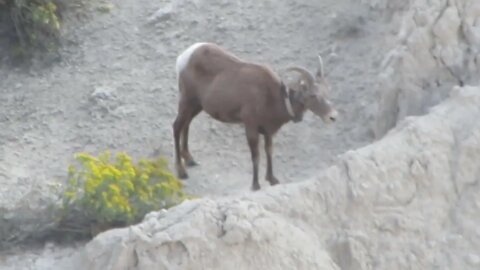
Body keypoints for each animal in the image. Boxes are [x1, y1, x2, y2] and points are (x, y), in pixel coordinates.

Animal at [173, 41, 338, 190]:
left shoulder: (269, 131)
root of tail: (184, 57)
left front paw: (272, 179)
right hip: (187, 101)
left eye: (327, 91)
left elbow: (269, 151)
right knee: (176, 126)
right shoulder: (251, 127)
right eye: (313, 95)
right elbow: (256, 156)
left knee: (186, 124)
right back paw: (181, 172)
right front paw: (255, 185)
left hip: (196, 106)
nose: (332, 117)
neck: (270, 98)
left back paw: (190, 160)